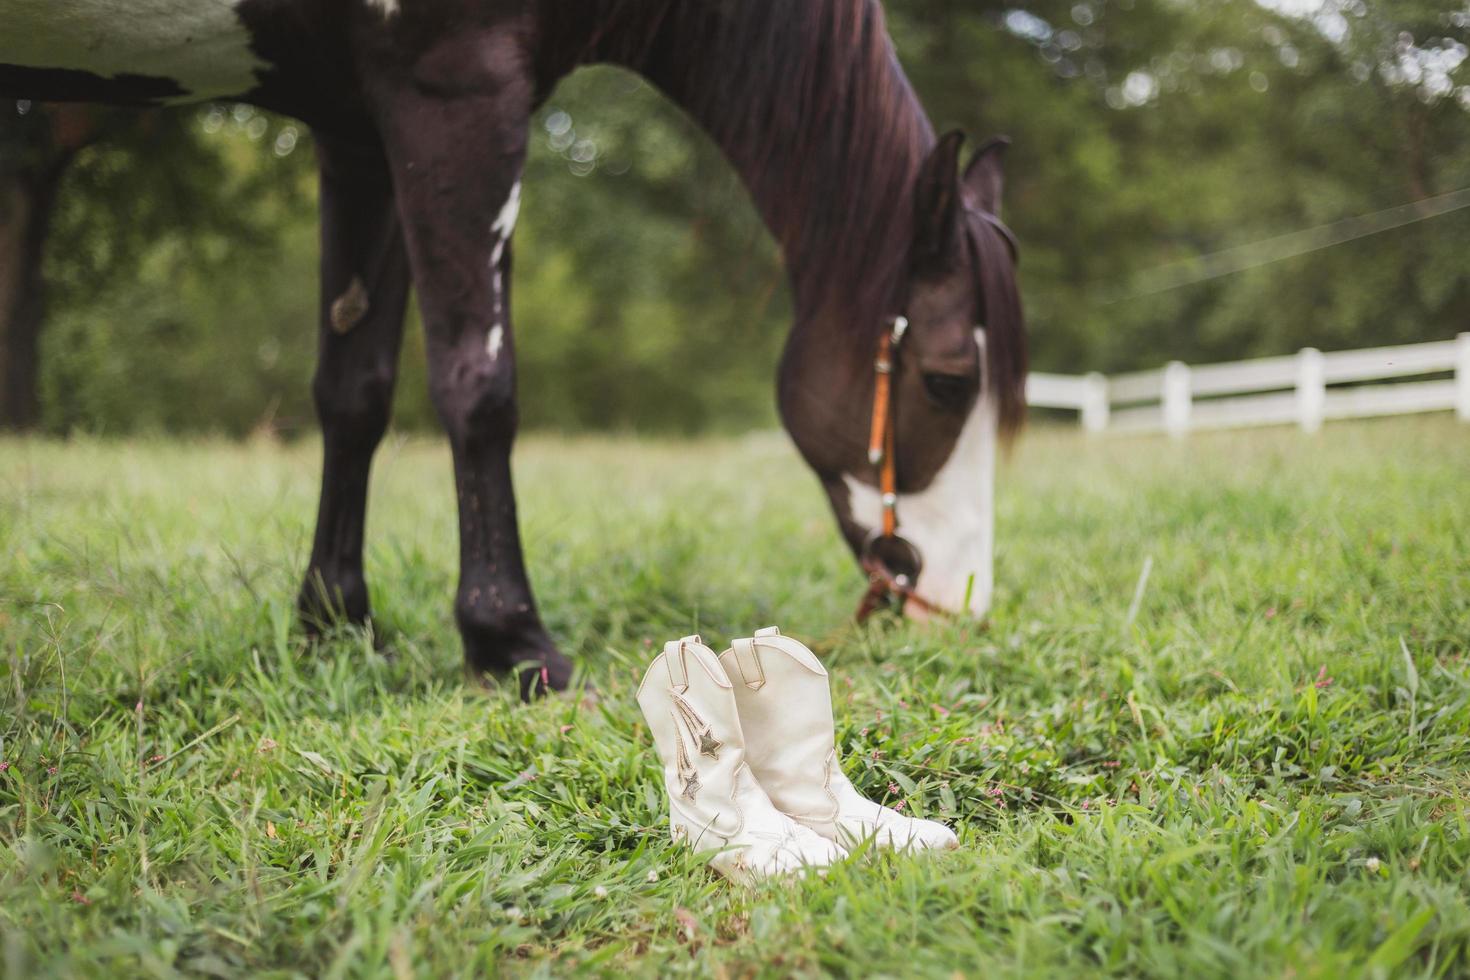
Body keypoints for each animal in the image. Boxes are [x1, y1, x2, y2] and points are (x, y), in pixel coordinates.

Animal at [5, 0, 1029, 696]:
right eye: (948, 382)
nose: (964, 603)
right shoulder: (453, 86)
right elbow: (478, 384)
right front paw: (511, 641)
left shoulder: (355, 128)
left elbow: (354, 390)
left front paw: (336, 623)